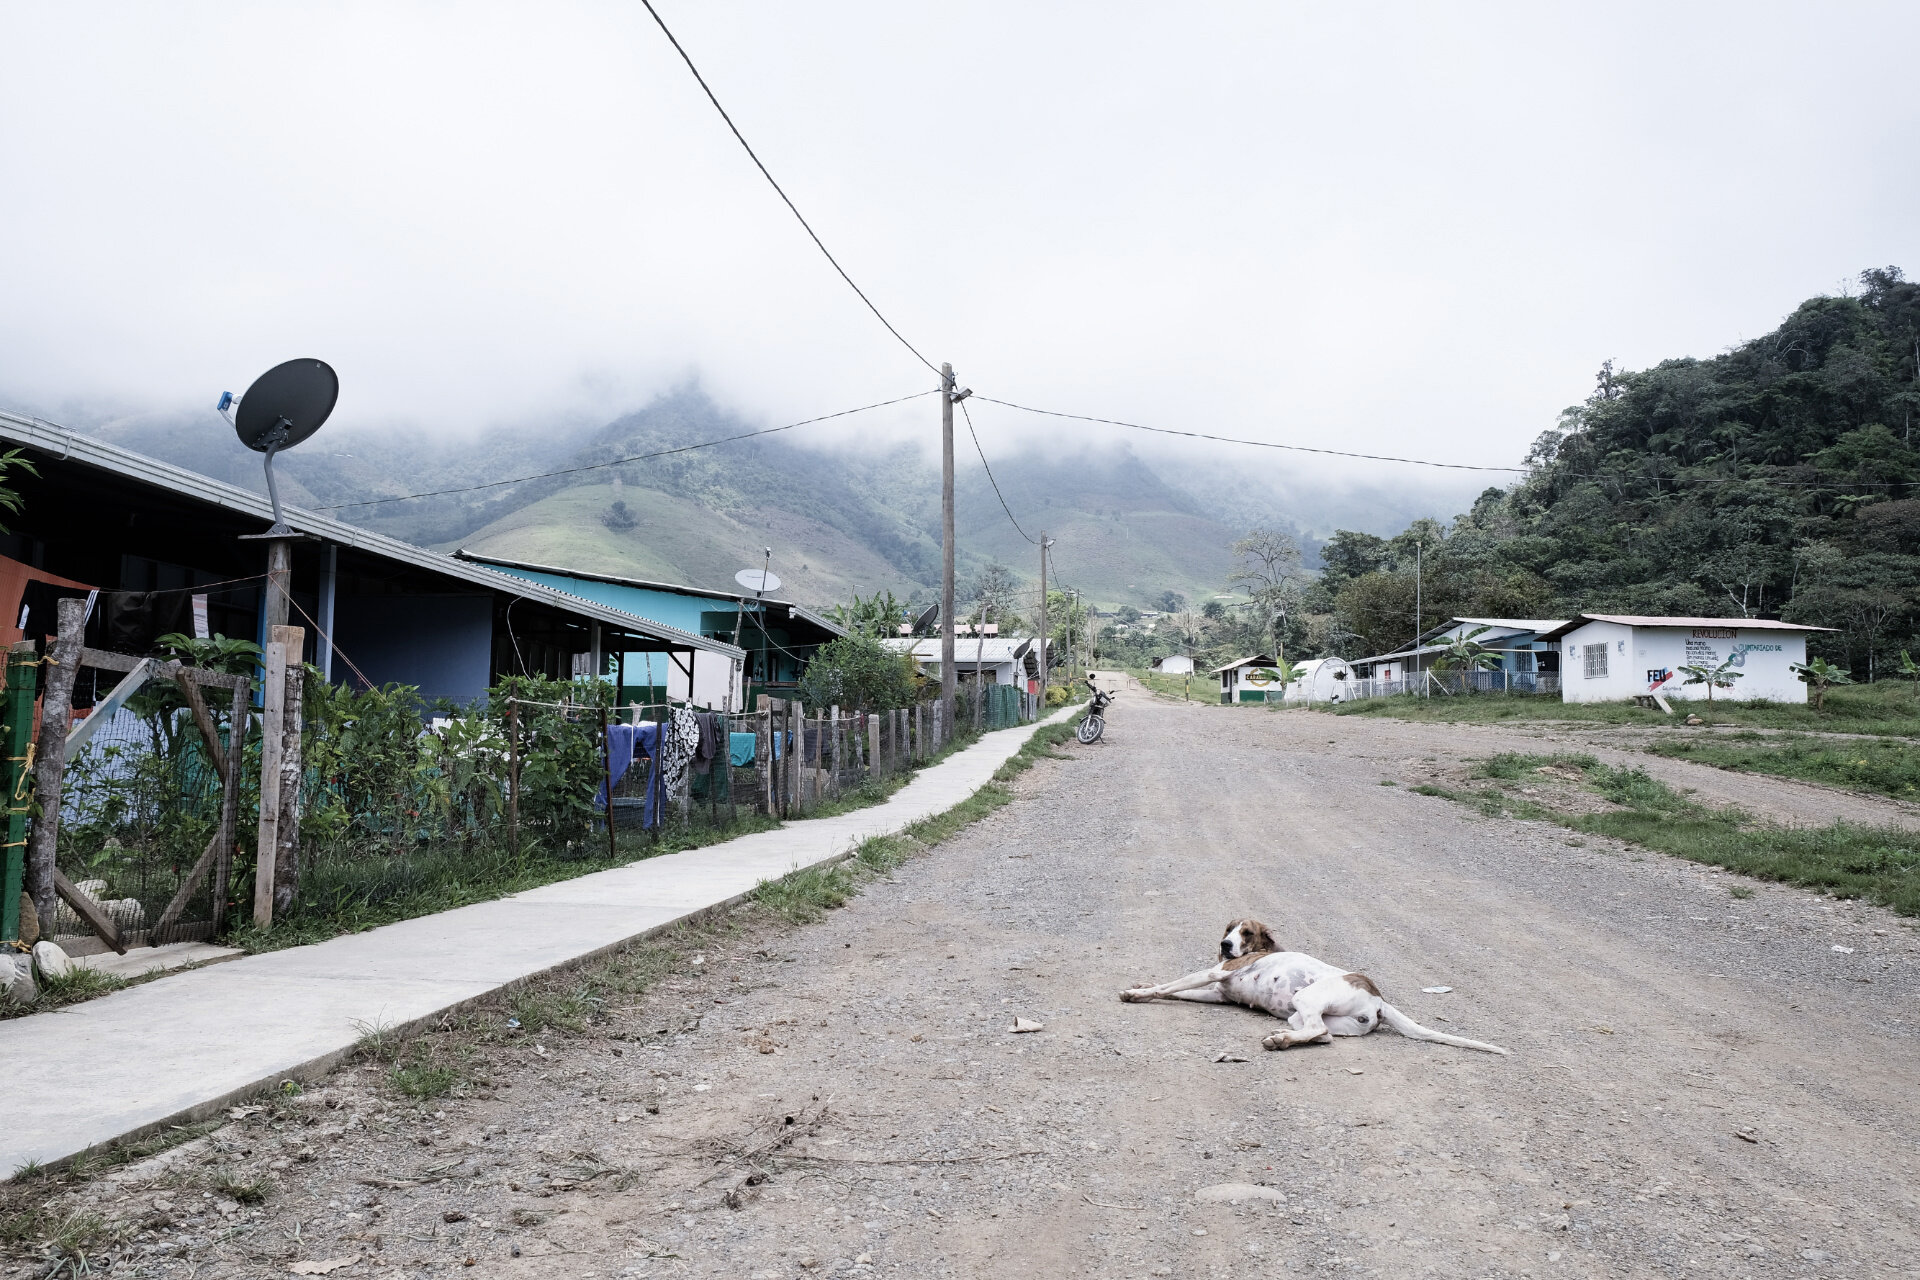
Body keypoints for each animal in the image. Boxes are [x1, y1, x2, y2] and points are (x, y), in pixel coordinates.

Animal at [1121, 917, 1505, 1059]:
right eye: (1229, 929)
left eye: (1246, 933)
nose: (1225, 944)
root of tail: (1379, 999)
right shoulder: (1215, 991)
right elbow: (1174, 988)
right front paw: (1144, 984)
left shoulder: (1212, 975)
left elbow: (1168, 987)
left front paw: (1138, 993)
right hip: (1309, 1017)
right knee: (1322, 1034)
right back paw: (1283, 1039)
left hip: (1305, 997)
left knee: (1318, 1031)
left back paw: (1279, 1042)